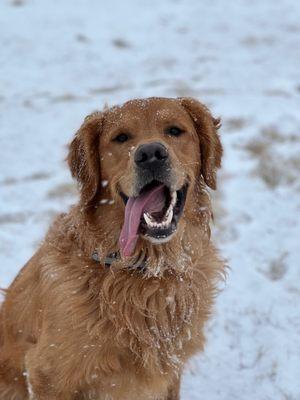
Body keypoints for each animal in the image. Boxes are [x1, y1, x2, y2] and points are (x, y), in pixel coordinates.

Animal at [0, 97, 225, 400]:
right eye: (120, 138)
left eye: (175, 131)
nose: (151, 153)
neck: (142, 269)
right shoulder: (46, 373)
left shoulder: (171, 372)